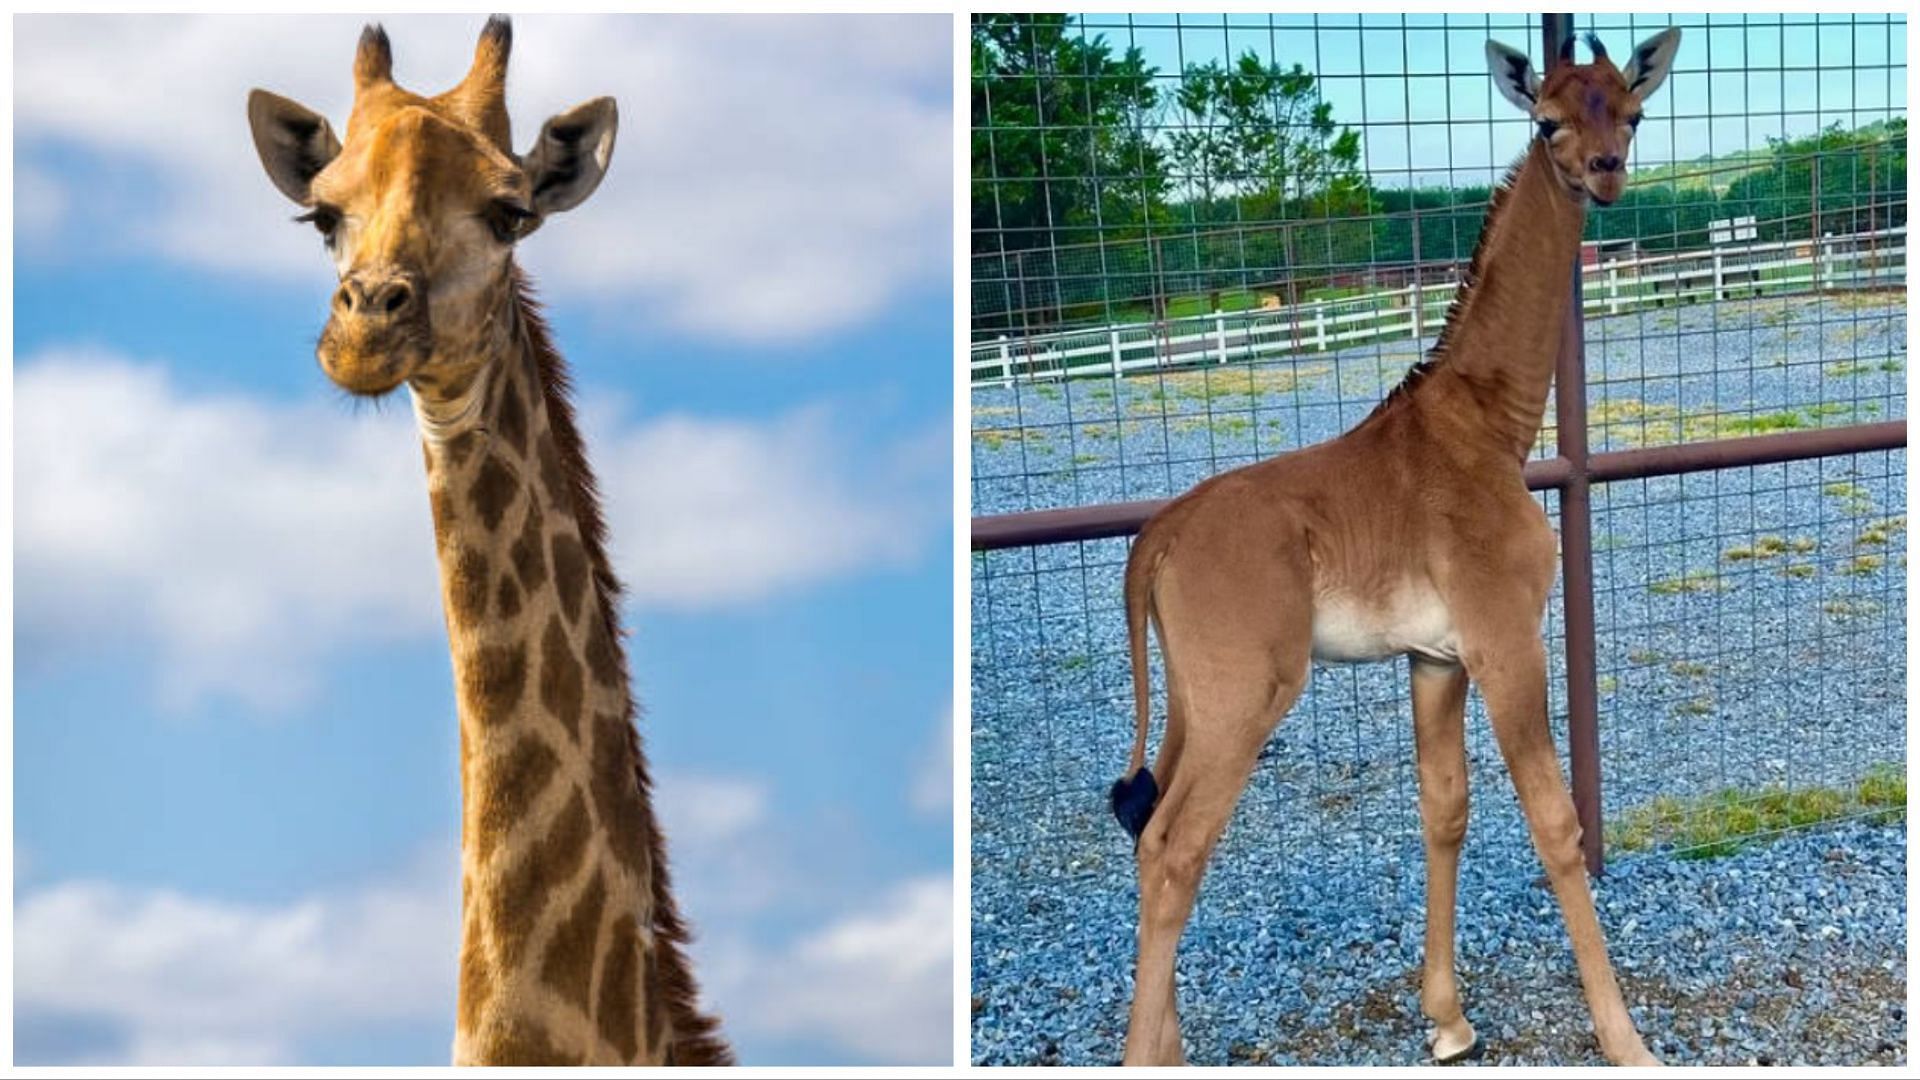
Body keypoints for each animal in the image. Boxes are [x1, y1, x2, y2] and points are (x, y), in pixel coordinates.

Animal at [1113, 29, 1681, 1060]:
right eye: (1548, 120)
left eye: (1631, 109)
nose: (1606, 172)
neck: (1490, 428)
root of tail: (1157, 541)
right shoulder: (1505, 641)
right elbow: (1556, 822)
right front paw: (1628, 1042)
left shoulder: (1434, 657)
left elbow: (1444, 808)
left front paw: (1448, 1019)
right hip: (1246, 696)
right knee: (1176, 848)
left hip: (1189, 702)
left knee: (1145, 835)